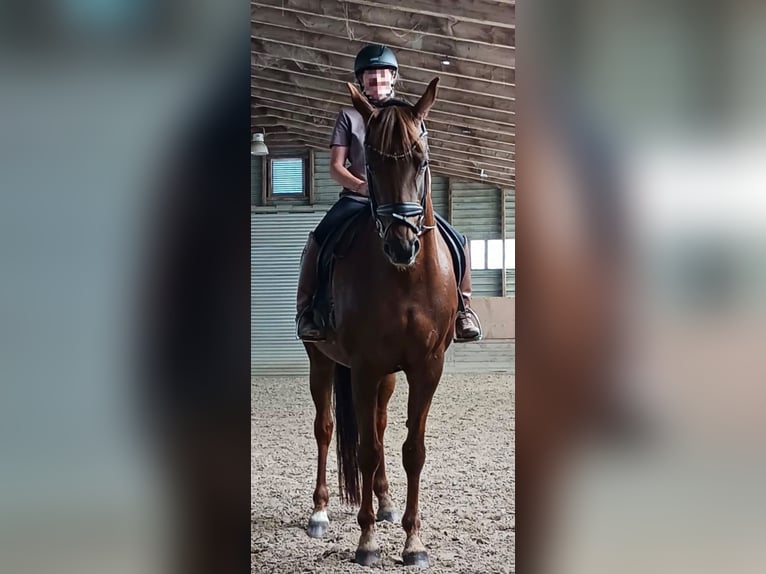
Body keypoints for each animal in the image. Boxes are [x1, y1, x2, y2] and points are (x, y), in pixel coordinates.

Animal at [302, 77, 458, 568]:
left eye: (421, 160)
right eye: (369, 164)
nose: (401, 245)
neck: (404, 277)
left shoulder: (426, 367)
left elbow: (413, 450)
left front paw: (413, 542)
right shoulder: (365, 367)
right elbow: (365, 450)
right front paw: (367, 542)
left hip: (388, 375)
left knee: (382, 424)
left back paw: (386, 502)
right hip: (322, 361)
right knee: (326, 427)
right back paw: (320, 512)